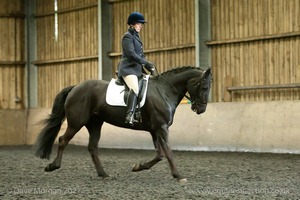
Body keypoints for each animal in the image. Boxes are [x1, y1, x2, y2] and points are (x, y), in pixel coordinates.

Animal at [34, 66, 212, 183]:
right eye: (204, 86)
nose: (201, 109)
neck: (164, 91)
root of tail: (75, 87)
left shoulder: (155, 129)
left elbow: (160, 154)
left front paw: (138, 166)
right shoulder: (161, 128)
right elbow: (168, 152)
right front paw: (178, 176)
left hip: (95, 124)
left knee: (92, 148)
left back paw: (103, 174)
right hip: (76, 123)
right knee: (63, 140)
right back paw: (53, 166)